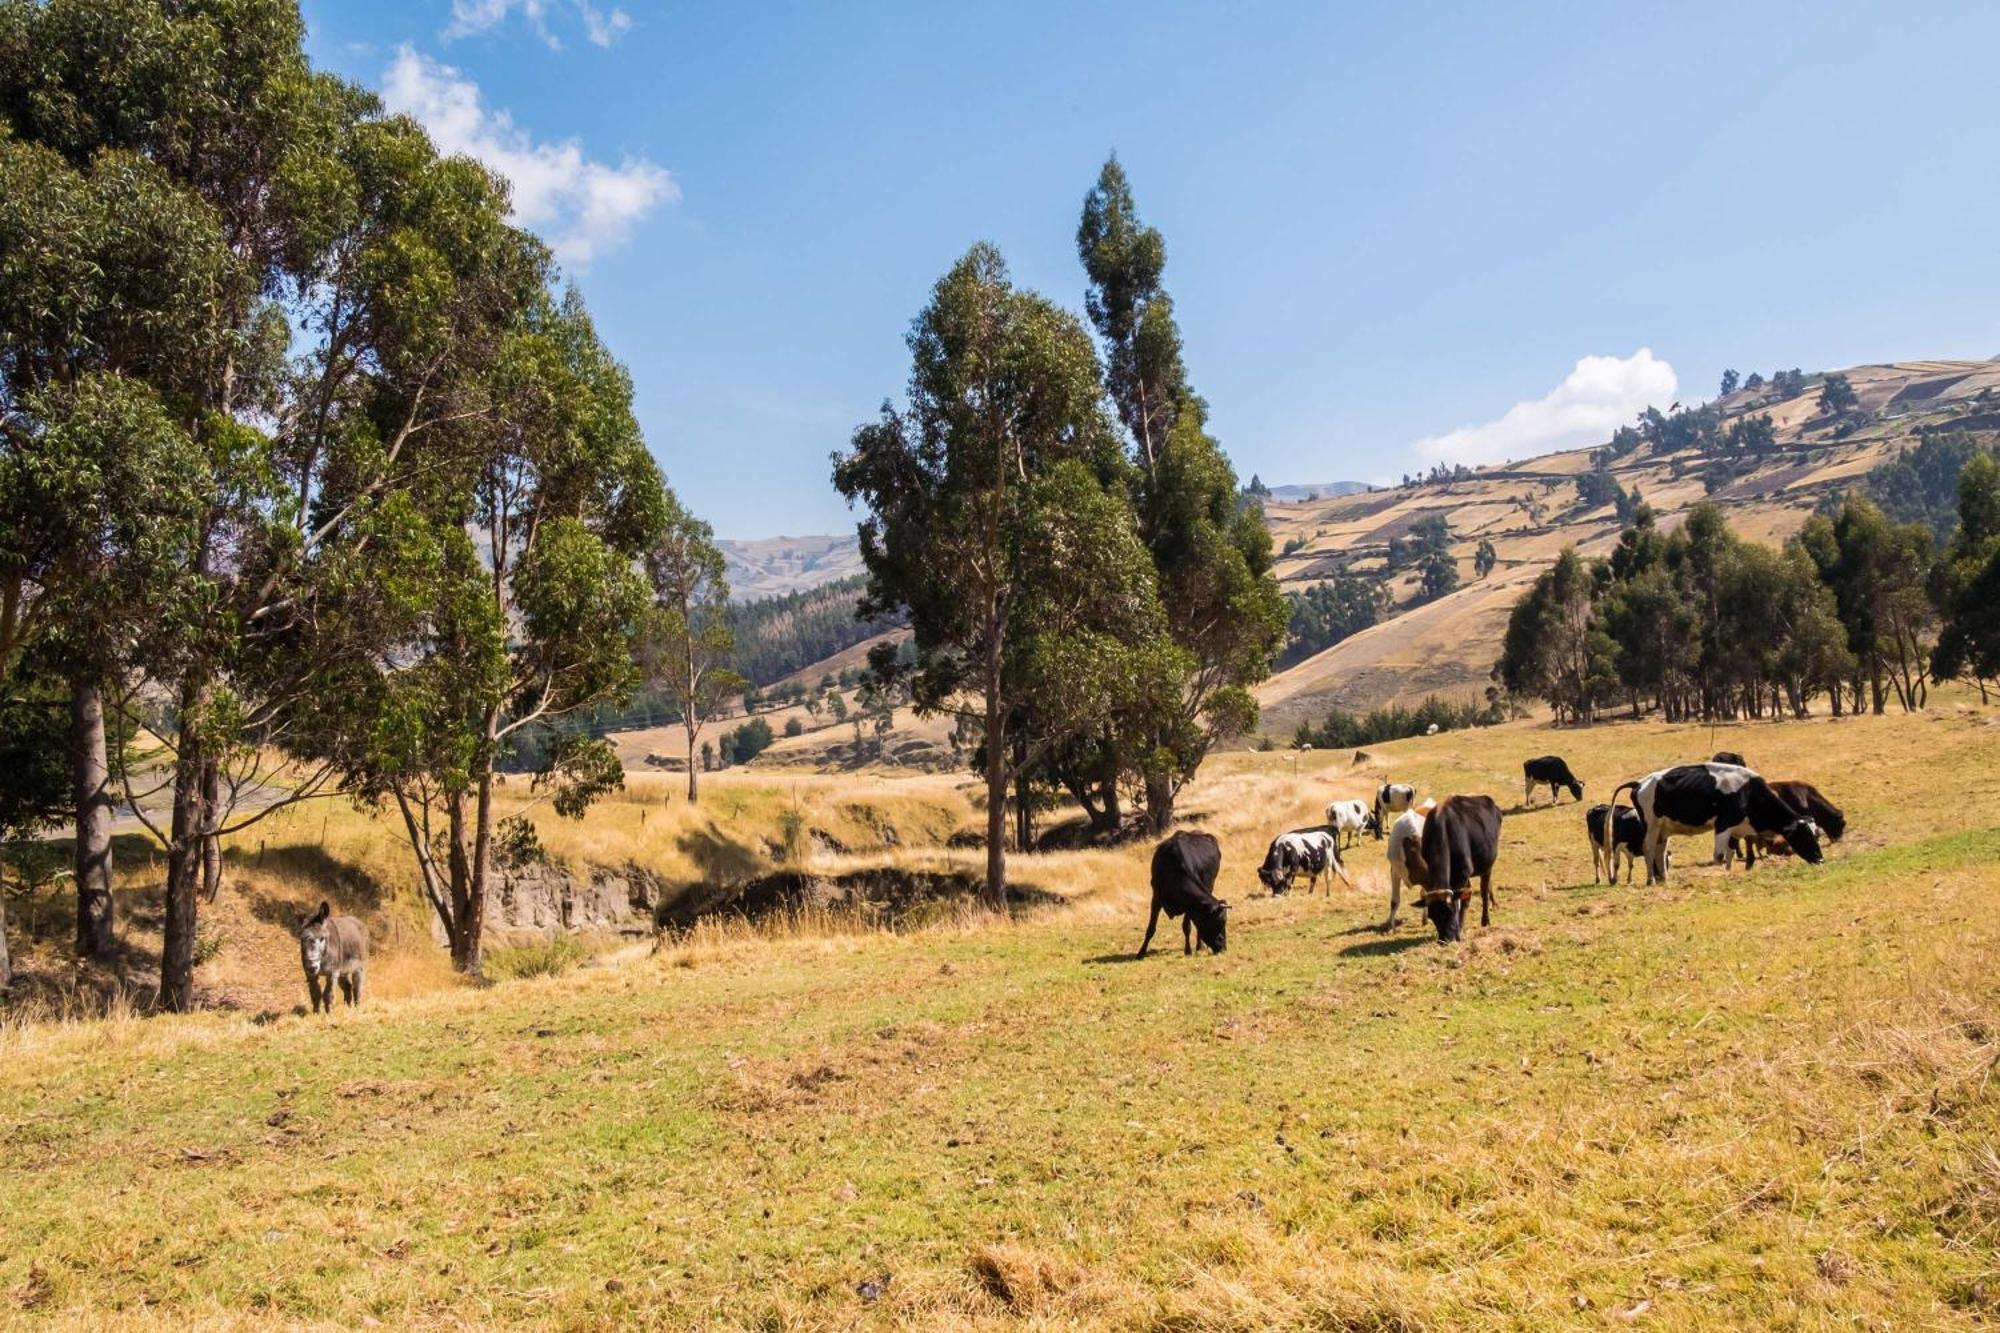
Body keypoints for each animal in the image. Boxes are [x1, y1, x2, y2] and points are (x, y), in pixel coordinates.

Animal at [1400, 792, 1504, 940]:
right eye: (1432, 916)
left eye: (1450, 911)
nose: (1445, 939)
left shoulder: (1463, 873)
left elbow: (1463, 901)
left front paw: (1460, 929)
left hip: (1487, 865)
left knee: (1484, 891)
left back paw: (1485, 920)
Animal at [1608, 756, 1832, 880]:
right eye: (1804, 836)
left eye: (1817, 836)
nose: (1820, 859)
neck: (1748, 792)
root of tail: (1639, 783)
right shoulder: (1723, 826)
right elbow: (1719, 856)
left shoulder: (1736, 830)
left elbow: (1731, 854)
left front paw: (1729, 872)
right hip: (1651, 826)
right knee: (1648, 849)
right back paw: (1651, 881)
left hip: (1663, 830)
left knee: (1659, 851)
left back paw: (1664, 878)